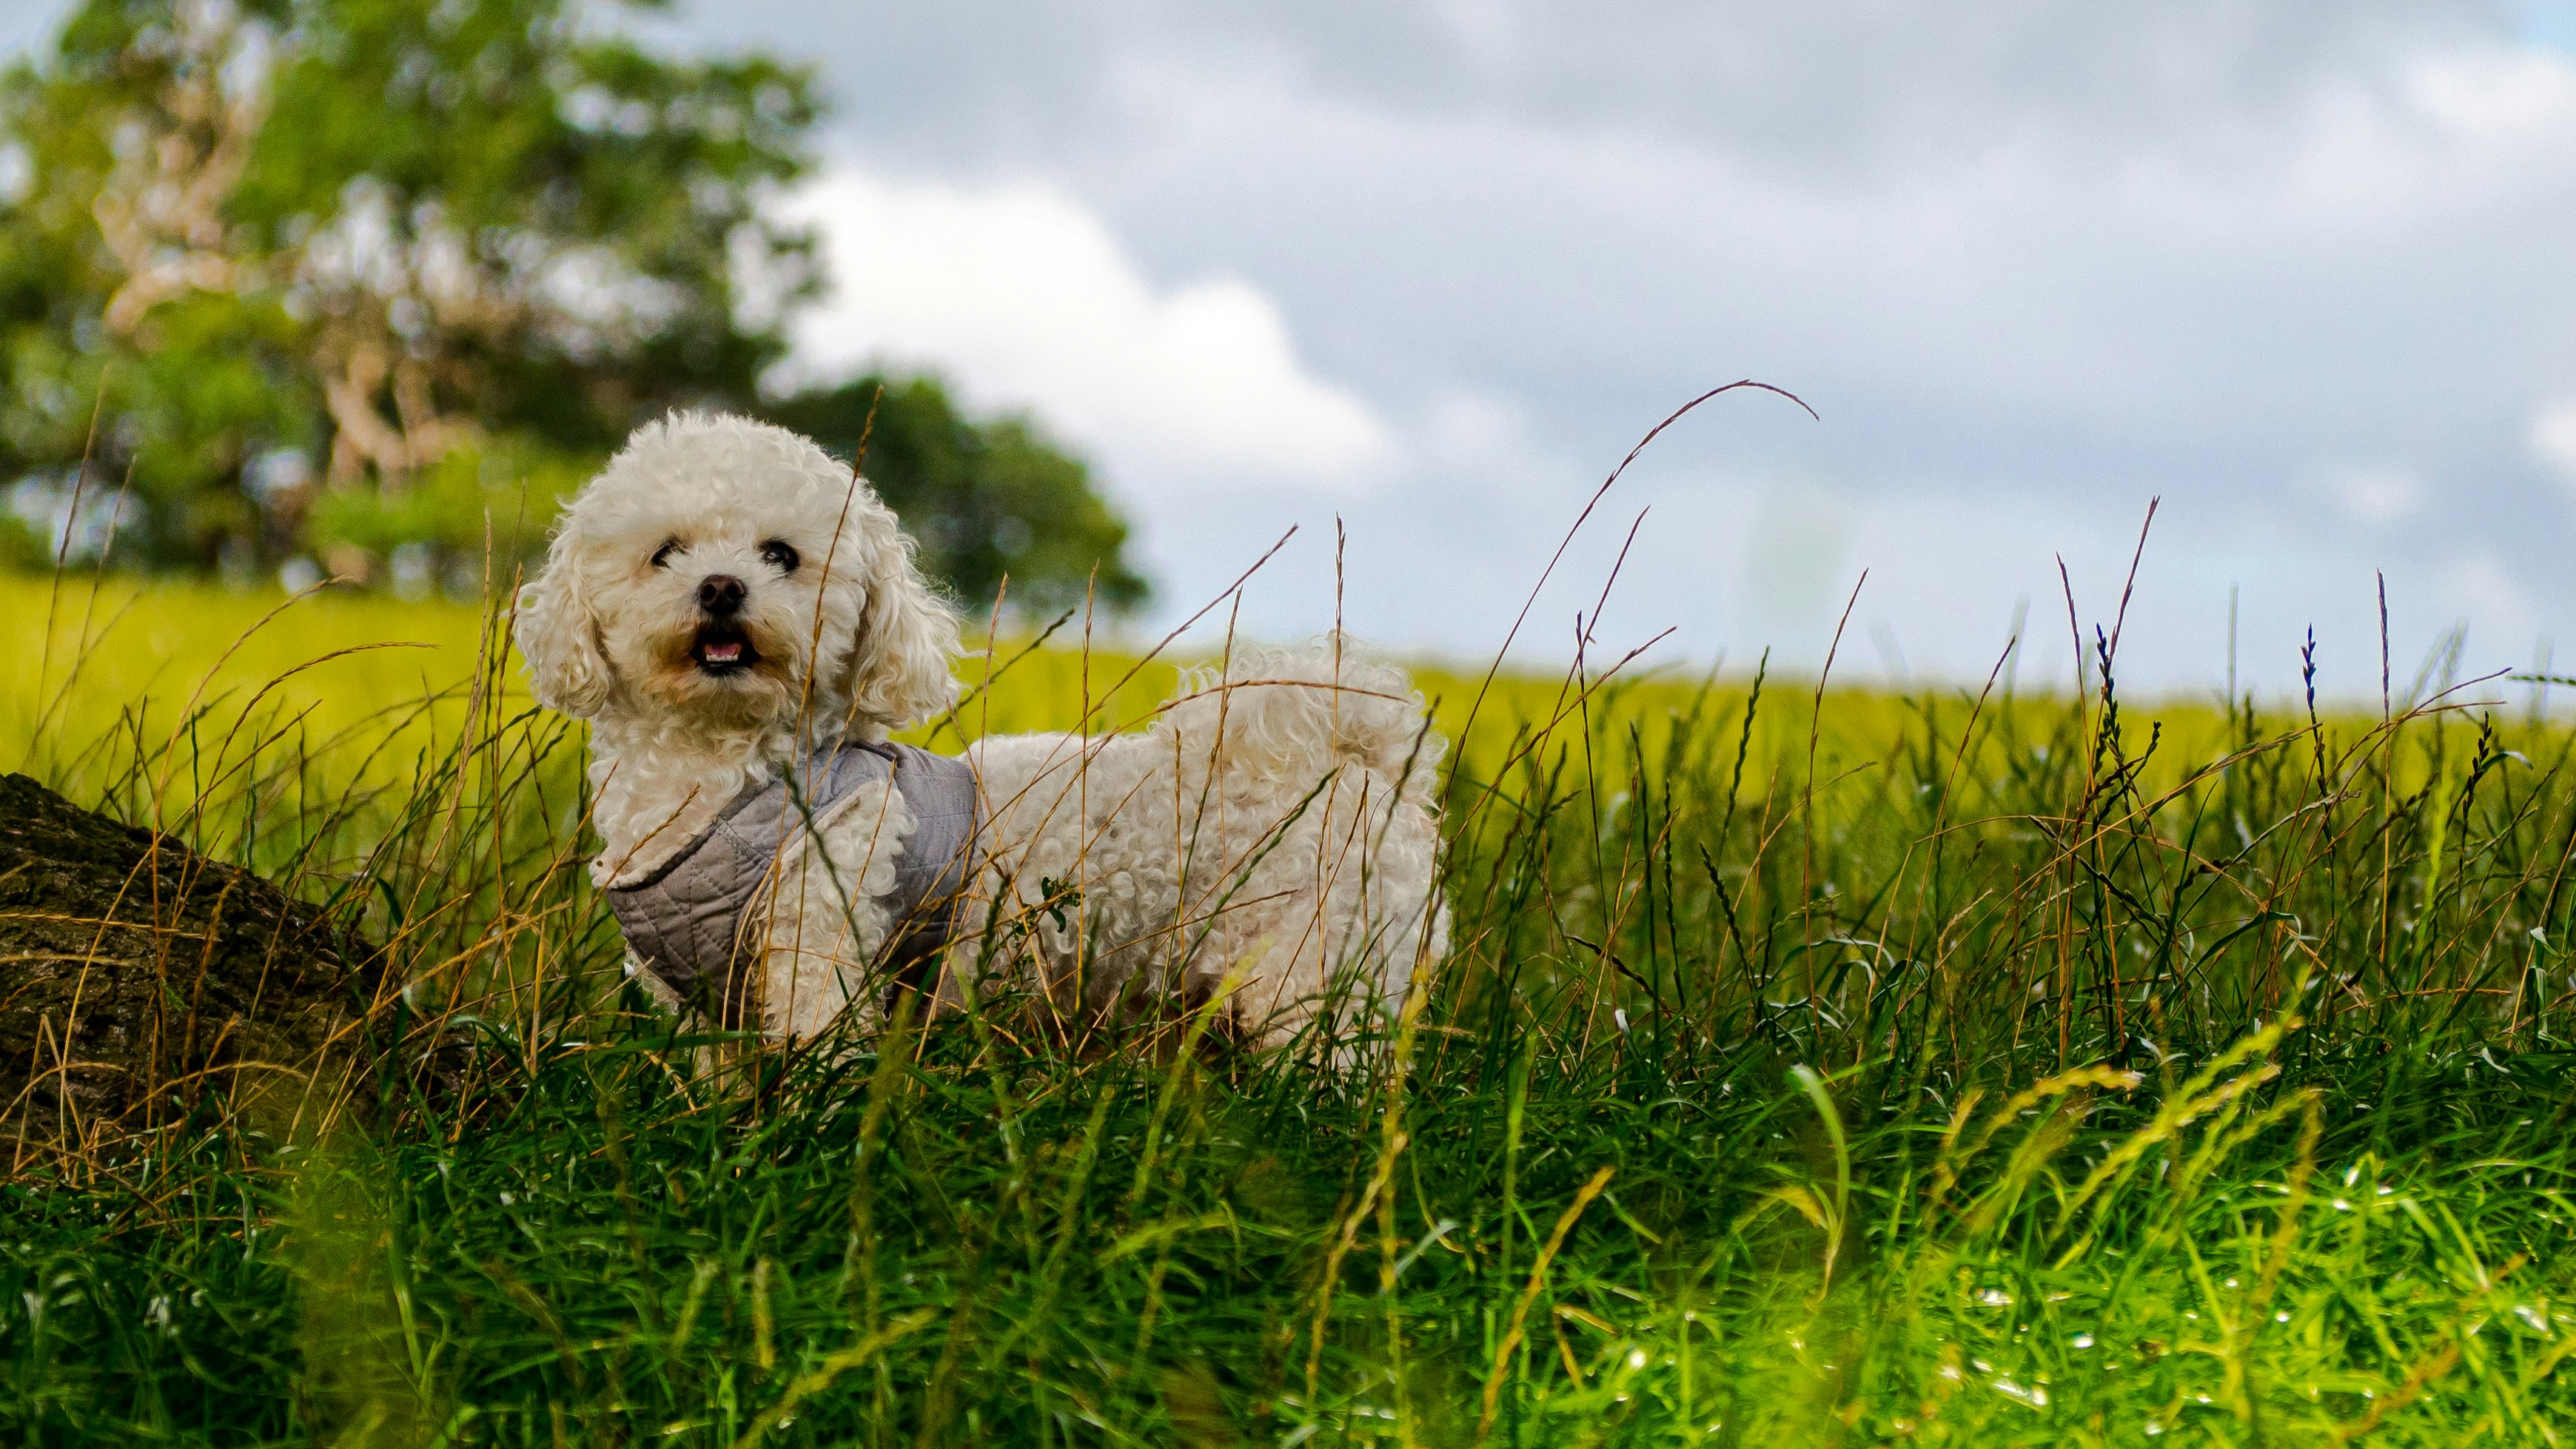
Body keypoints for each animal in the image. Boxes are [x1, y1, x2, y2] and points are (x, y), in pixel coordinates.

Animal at [517, 411, 1452, 1055]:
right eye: (665, 551)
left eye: (781, 554)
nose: (720, 586)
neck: (724, 774)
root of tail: (1366, 761)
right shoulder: (707, 1003)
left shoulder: (823, 941)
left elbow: (818, 1056)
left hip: (1322, 975)